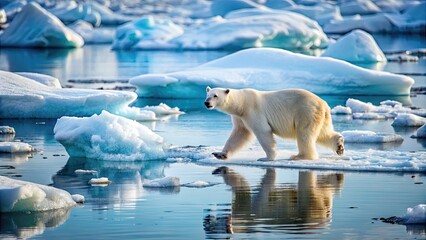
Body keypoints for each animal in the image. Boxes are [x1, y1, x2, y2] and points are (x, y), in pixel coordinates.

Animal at [205, 87, 344, 160]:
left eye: (215, 95)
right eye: (207, 95)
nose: (206, 103)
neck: (241, 104)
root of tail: (323, 103)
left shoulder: (253, 112)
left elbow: (263, 131)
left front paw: (267, 157)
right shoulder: (240, 118)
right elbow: (239, 134)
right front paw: (220, 154)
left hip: (306, 112)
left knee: (305, 134)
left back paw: (299, 156)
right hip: (321, 116)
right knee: (323, 133)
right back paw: (339, 145)